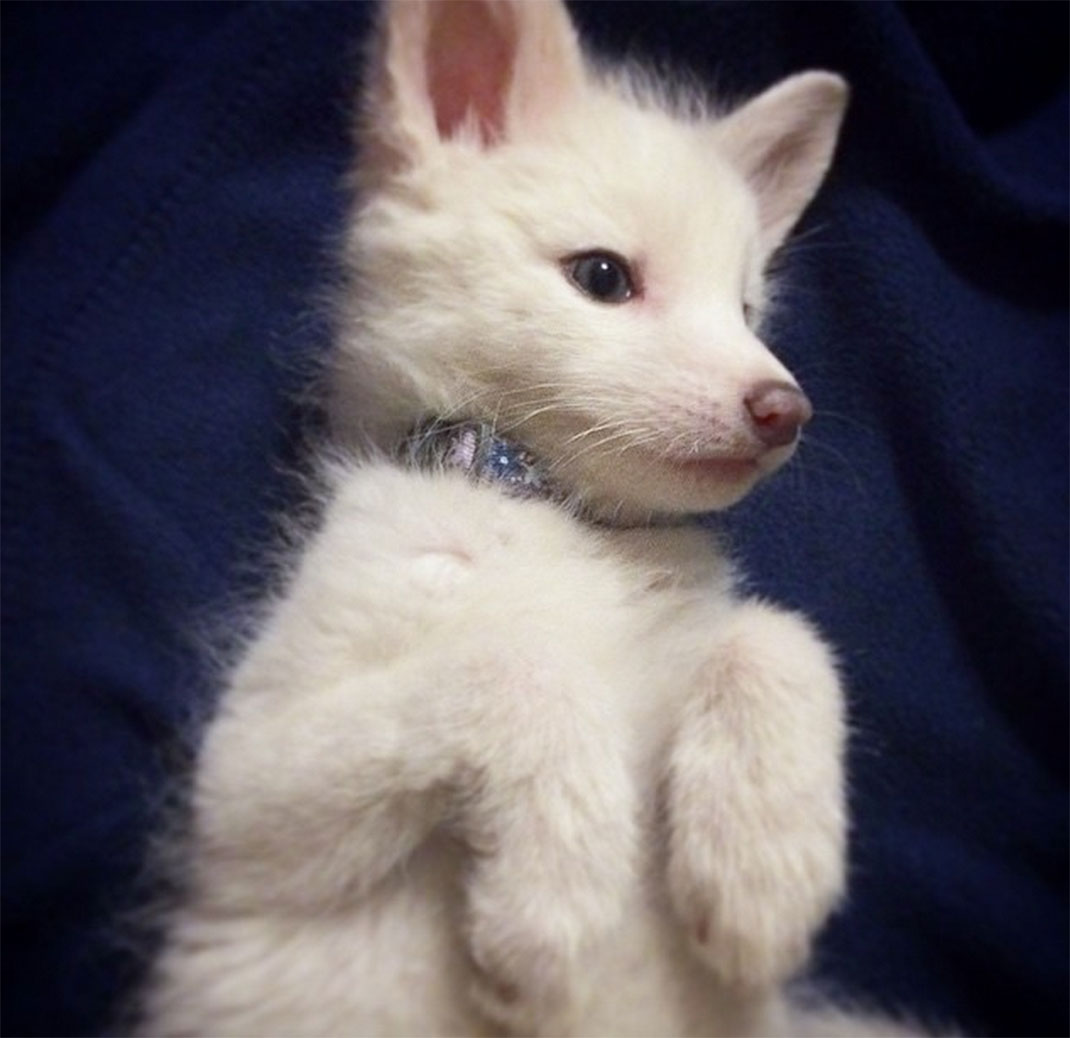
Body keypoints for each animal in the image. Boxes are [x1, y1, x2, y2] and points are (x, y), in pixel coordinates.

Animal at [137, 1, 921, 1035]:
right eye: (604, 276)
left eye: (748, 309)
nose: (783, 409)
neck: (555, 513)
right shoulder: (242, 795)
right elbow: (519, 671)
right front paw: (553, 910)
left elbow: (778, 636)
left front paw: (763, 872)